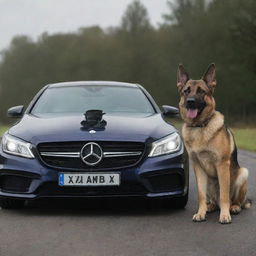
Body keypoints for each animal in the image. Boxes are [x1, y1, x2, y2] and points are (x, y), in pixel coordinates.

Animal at [177, 63, 251, 223]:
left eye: (201, 91)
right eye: (186, 91)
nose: (190, 101)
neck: (200, 126)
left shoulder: (222, 165)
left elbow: (224, 195)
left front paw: (224, 215)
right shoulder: (198, 167)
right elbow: (200, 195)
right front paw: (201, 213)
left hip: (243, 173)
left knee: (234, 201)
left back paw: (233, 208)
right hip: (210, 183)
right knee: (213, 201)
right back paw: (210, 207)